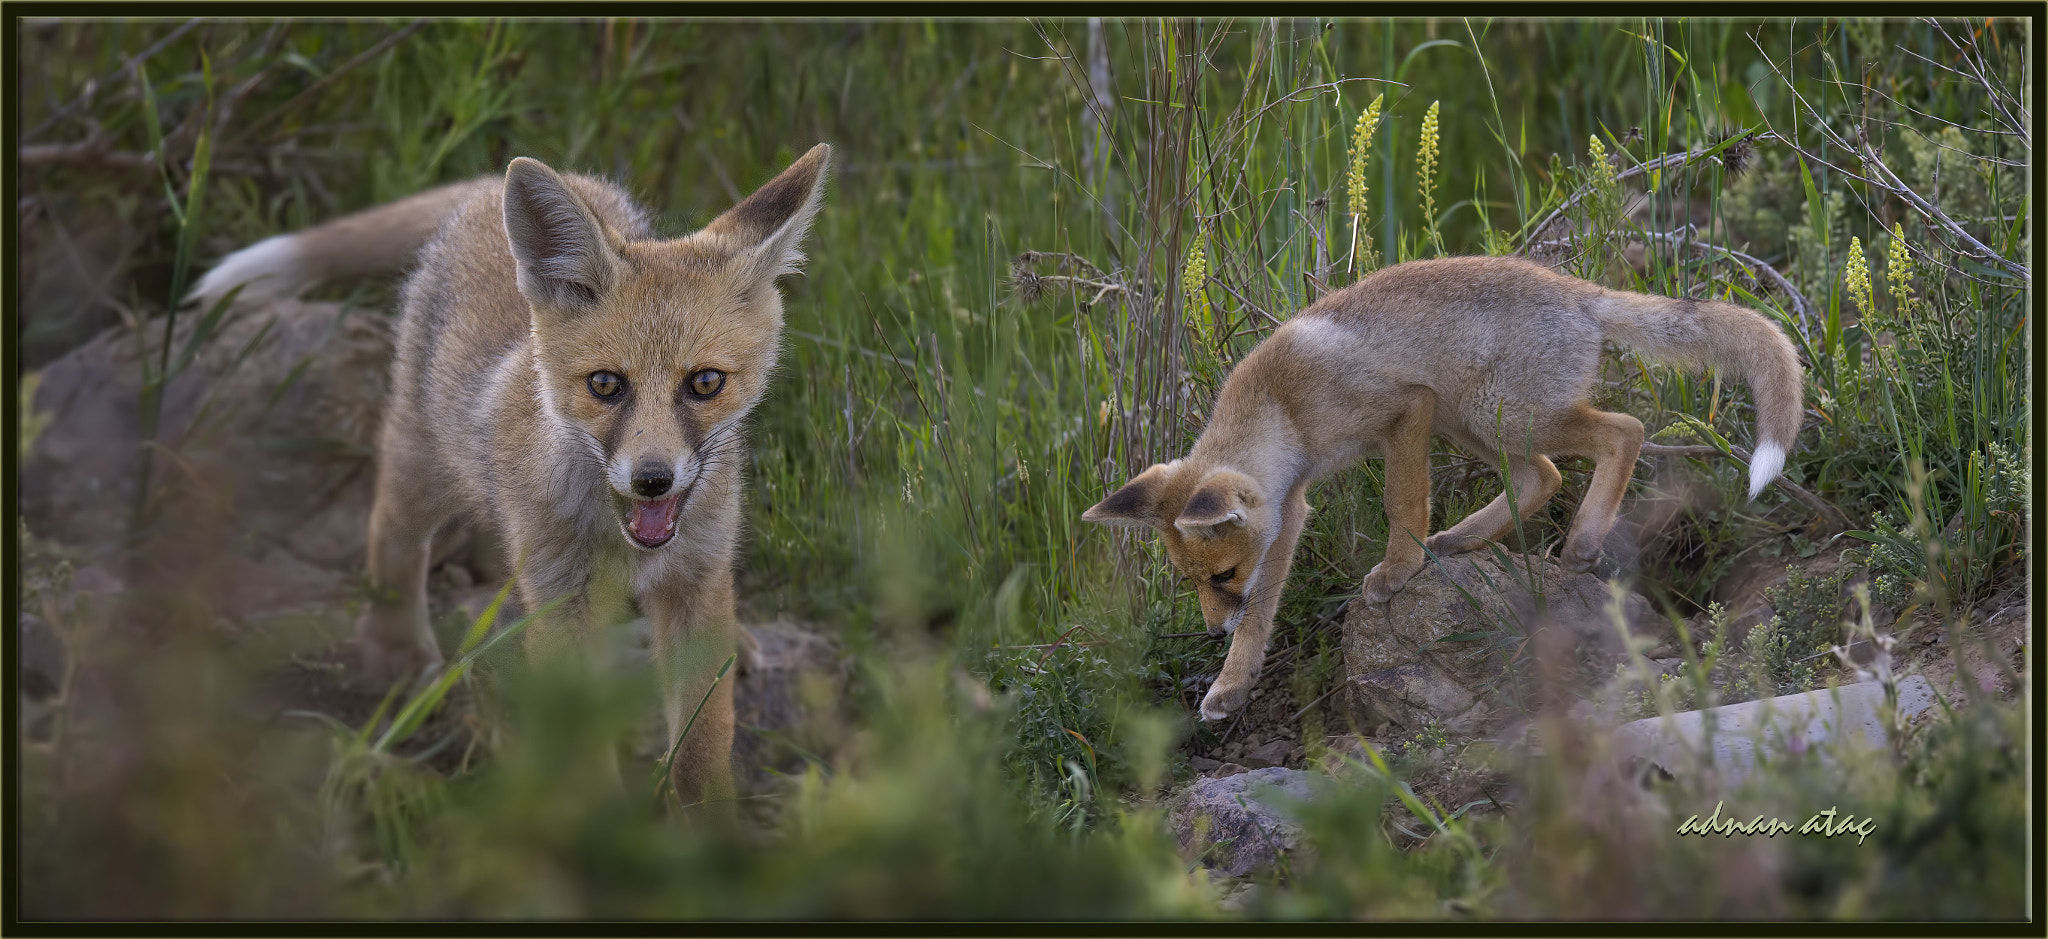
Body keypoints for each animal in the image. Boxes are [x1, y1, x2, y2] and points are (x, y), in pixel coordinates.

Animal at [189, 144, 833, 812]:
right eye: (606, 384)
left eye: (705, 382)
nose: (652, 480)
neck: (623, 543)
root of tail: (483, 190)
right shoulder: (560, 599)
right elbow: (585, 745)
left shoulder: (695, 578)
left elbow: (702, 749)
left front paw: (709, 823)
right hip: (425, 457)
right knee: (391, 528)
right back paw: (397, 644)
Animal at [1082, 256, 1803, 723]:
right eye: (1195, 582)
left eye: (1222, 573)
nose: (1208, 630)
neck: (1284, 405)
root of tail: (1576, 289)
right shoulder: (1290, 508)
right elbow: (1259, 618)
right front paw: (1232, 683)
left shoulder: (1406, 410)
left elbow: (1401, 504)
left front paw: (1398, 570)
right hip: (1476, 422)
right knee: (1544, 474)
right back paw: (1459, 540)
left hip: (1492, 413)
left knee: (1624, 431)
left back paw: (1580, 539)